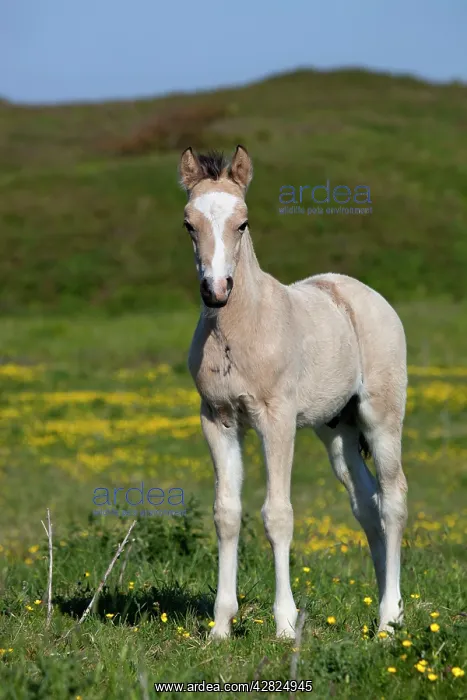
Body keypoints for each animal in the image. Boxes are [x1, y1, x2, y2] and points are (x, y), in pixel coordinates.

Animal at [179, 145, 408, 639]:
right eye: (189, 223)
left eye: (243, 222)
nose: (216, 291)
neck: (239, 330)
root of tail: (362, 293)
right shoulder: (217, 419)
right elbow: (226, 514)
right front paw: (220, 626)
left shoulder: (277, 419)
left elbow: (278, 514)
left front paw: (284, 624)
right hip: (336, 428)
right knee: (367, 505)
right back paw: (390, 609)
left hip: (381, 417)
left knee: (394, 500)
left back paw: (388, 620)